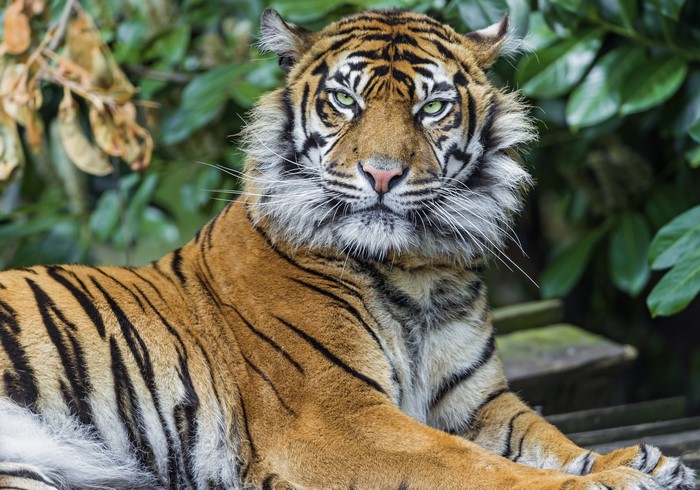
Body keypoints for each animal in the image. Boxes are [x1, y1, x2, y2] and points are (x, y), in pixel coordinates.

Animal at [0, 8, 695, 490]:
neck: (420, 269)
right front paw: (615, 478)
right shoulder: (339, 416)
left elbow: (546, 435)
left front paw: (636, 459)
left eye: (433, 107)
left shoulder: (478, 402)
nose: (383, 174)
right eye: (344, 101)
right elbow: (476, 468)